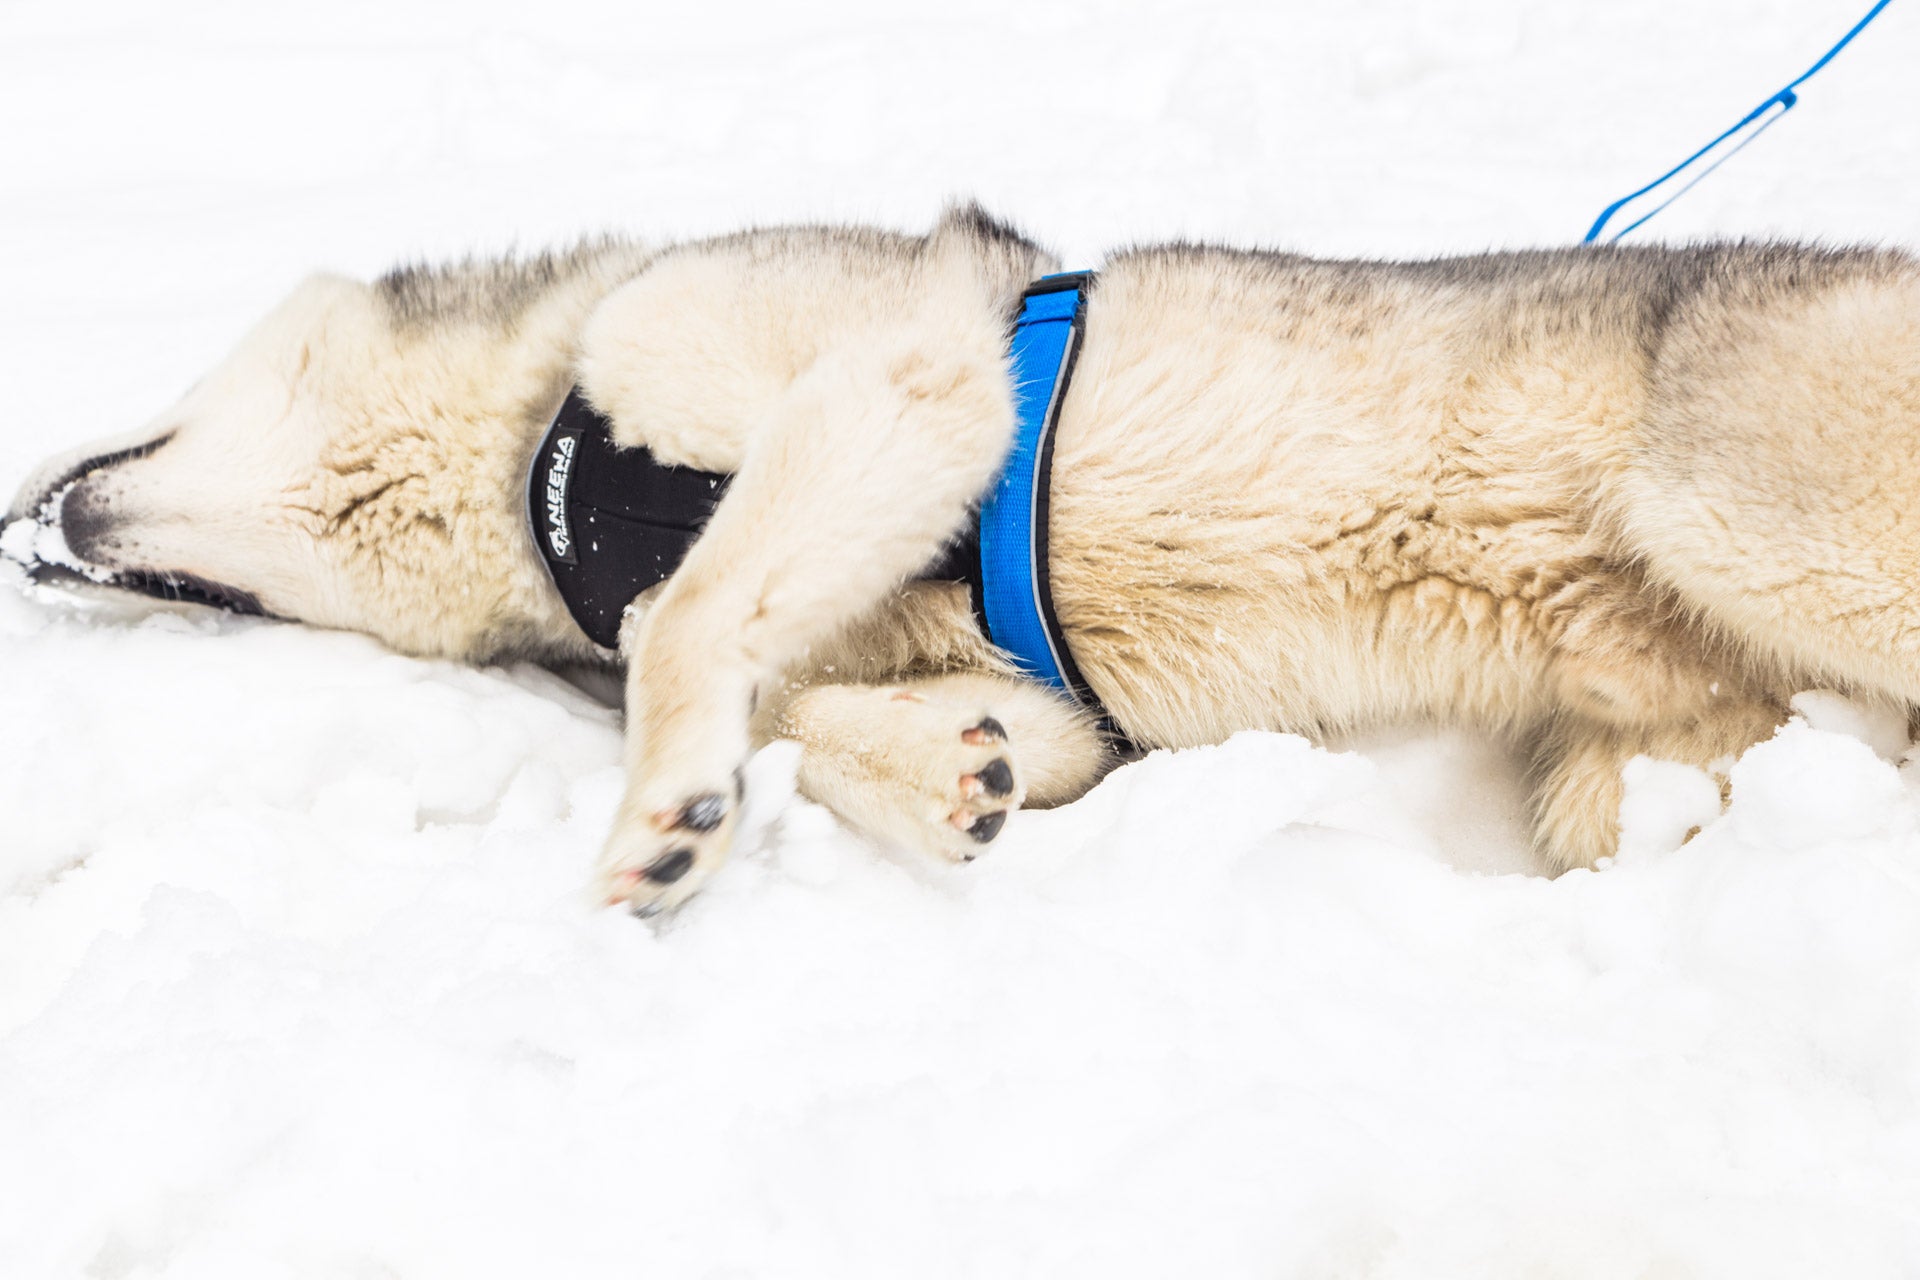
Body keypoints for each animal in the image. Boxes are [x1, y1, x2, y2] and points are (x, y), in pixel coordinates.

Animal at [3, 205, 1920, 917]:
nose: (30, 534)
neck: (537, 476)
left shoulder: (893, 378)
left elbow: (683, 622)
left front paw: (665, 822)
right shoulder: (1042, 693)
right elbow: (844, 704)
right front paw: (939, 784)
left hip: (1735, 507)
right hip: (1623, 760)